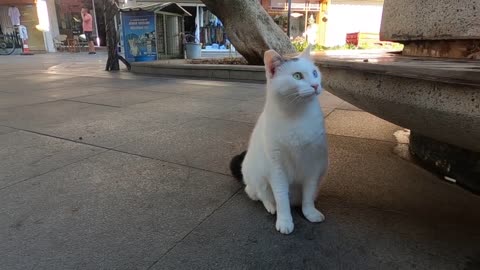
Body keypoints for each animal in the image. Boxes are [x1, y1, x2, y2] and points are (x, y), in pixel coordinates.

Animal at [231, 46, 328, 234]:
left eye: (314, 73)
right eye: (297, 76)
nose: (315, 85)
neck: (297, 116)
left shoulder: (313, 165)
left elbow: (308, 194)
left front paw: (310, 213)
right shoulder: (276, 168)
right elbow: (281, 197)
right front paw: (284, 221)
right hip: (257, 179)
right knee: (260, 195)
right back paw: (271, 206)